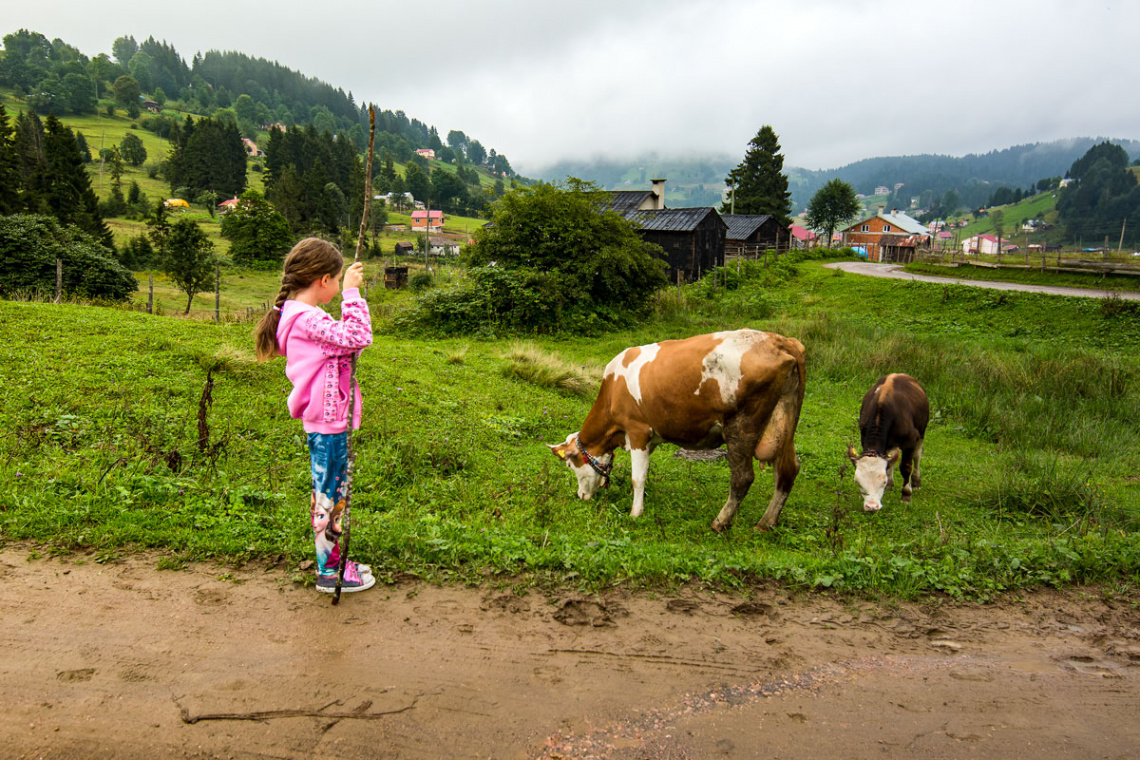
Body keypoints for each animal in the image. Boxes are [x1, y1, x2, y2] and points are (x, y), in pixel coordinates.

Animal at [549, 330, 802, 533]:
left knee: (743, 477)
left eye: (570, 464)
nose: (581, 496)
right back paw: (766, 523)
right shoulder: (650, 439)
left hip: (741, 426)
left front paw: (635, 513)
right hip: (786, 422)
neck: (613, 388)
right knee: (787, 471)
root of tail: (779, 340)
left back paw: (720, 522)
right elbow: (644, 472)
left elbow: (637, 477)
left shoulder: (638, 430)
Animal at [843, 373, 930, 510]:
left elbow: (906, 467)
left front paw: (906, 495)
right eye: (857, 481)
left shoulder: (911, 440)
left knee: (917, 455)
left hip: (922, 431)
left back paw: (916, 482)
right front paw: (890, 484)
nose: (871, 506)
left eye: (883, 481)